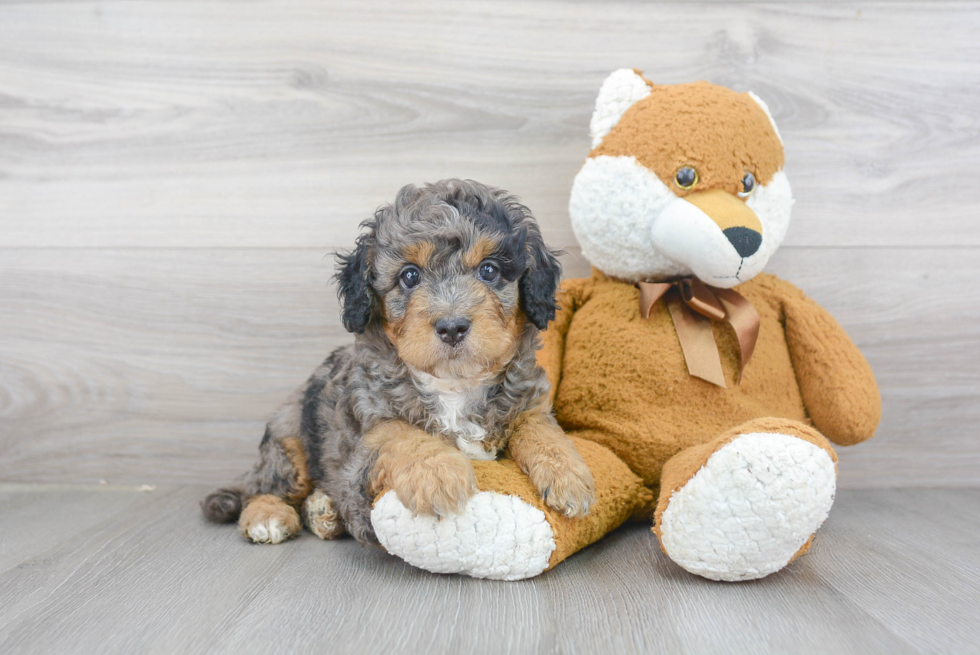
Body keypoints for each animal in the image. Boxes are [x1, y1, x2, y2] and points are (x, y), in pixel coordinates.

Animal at [203, 181, 592, 548]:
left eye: (489, 270)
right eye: (410, 276)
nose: (452, 327)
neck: (454, 385)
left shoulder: (526, 400)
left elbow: (541, 428)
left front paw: (570, 475)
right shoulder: (364, 430)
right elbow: (399, 432)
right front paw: (439, 474)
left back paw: (323, 511)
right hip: (291, 438)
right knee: (265, 486)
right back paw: (268, 516)